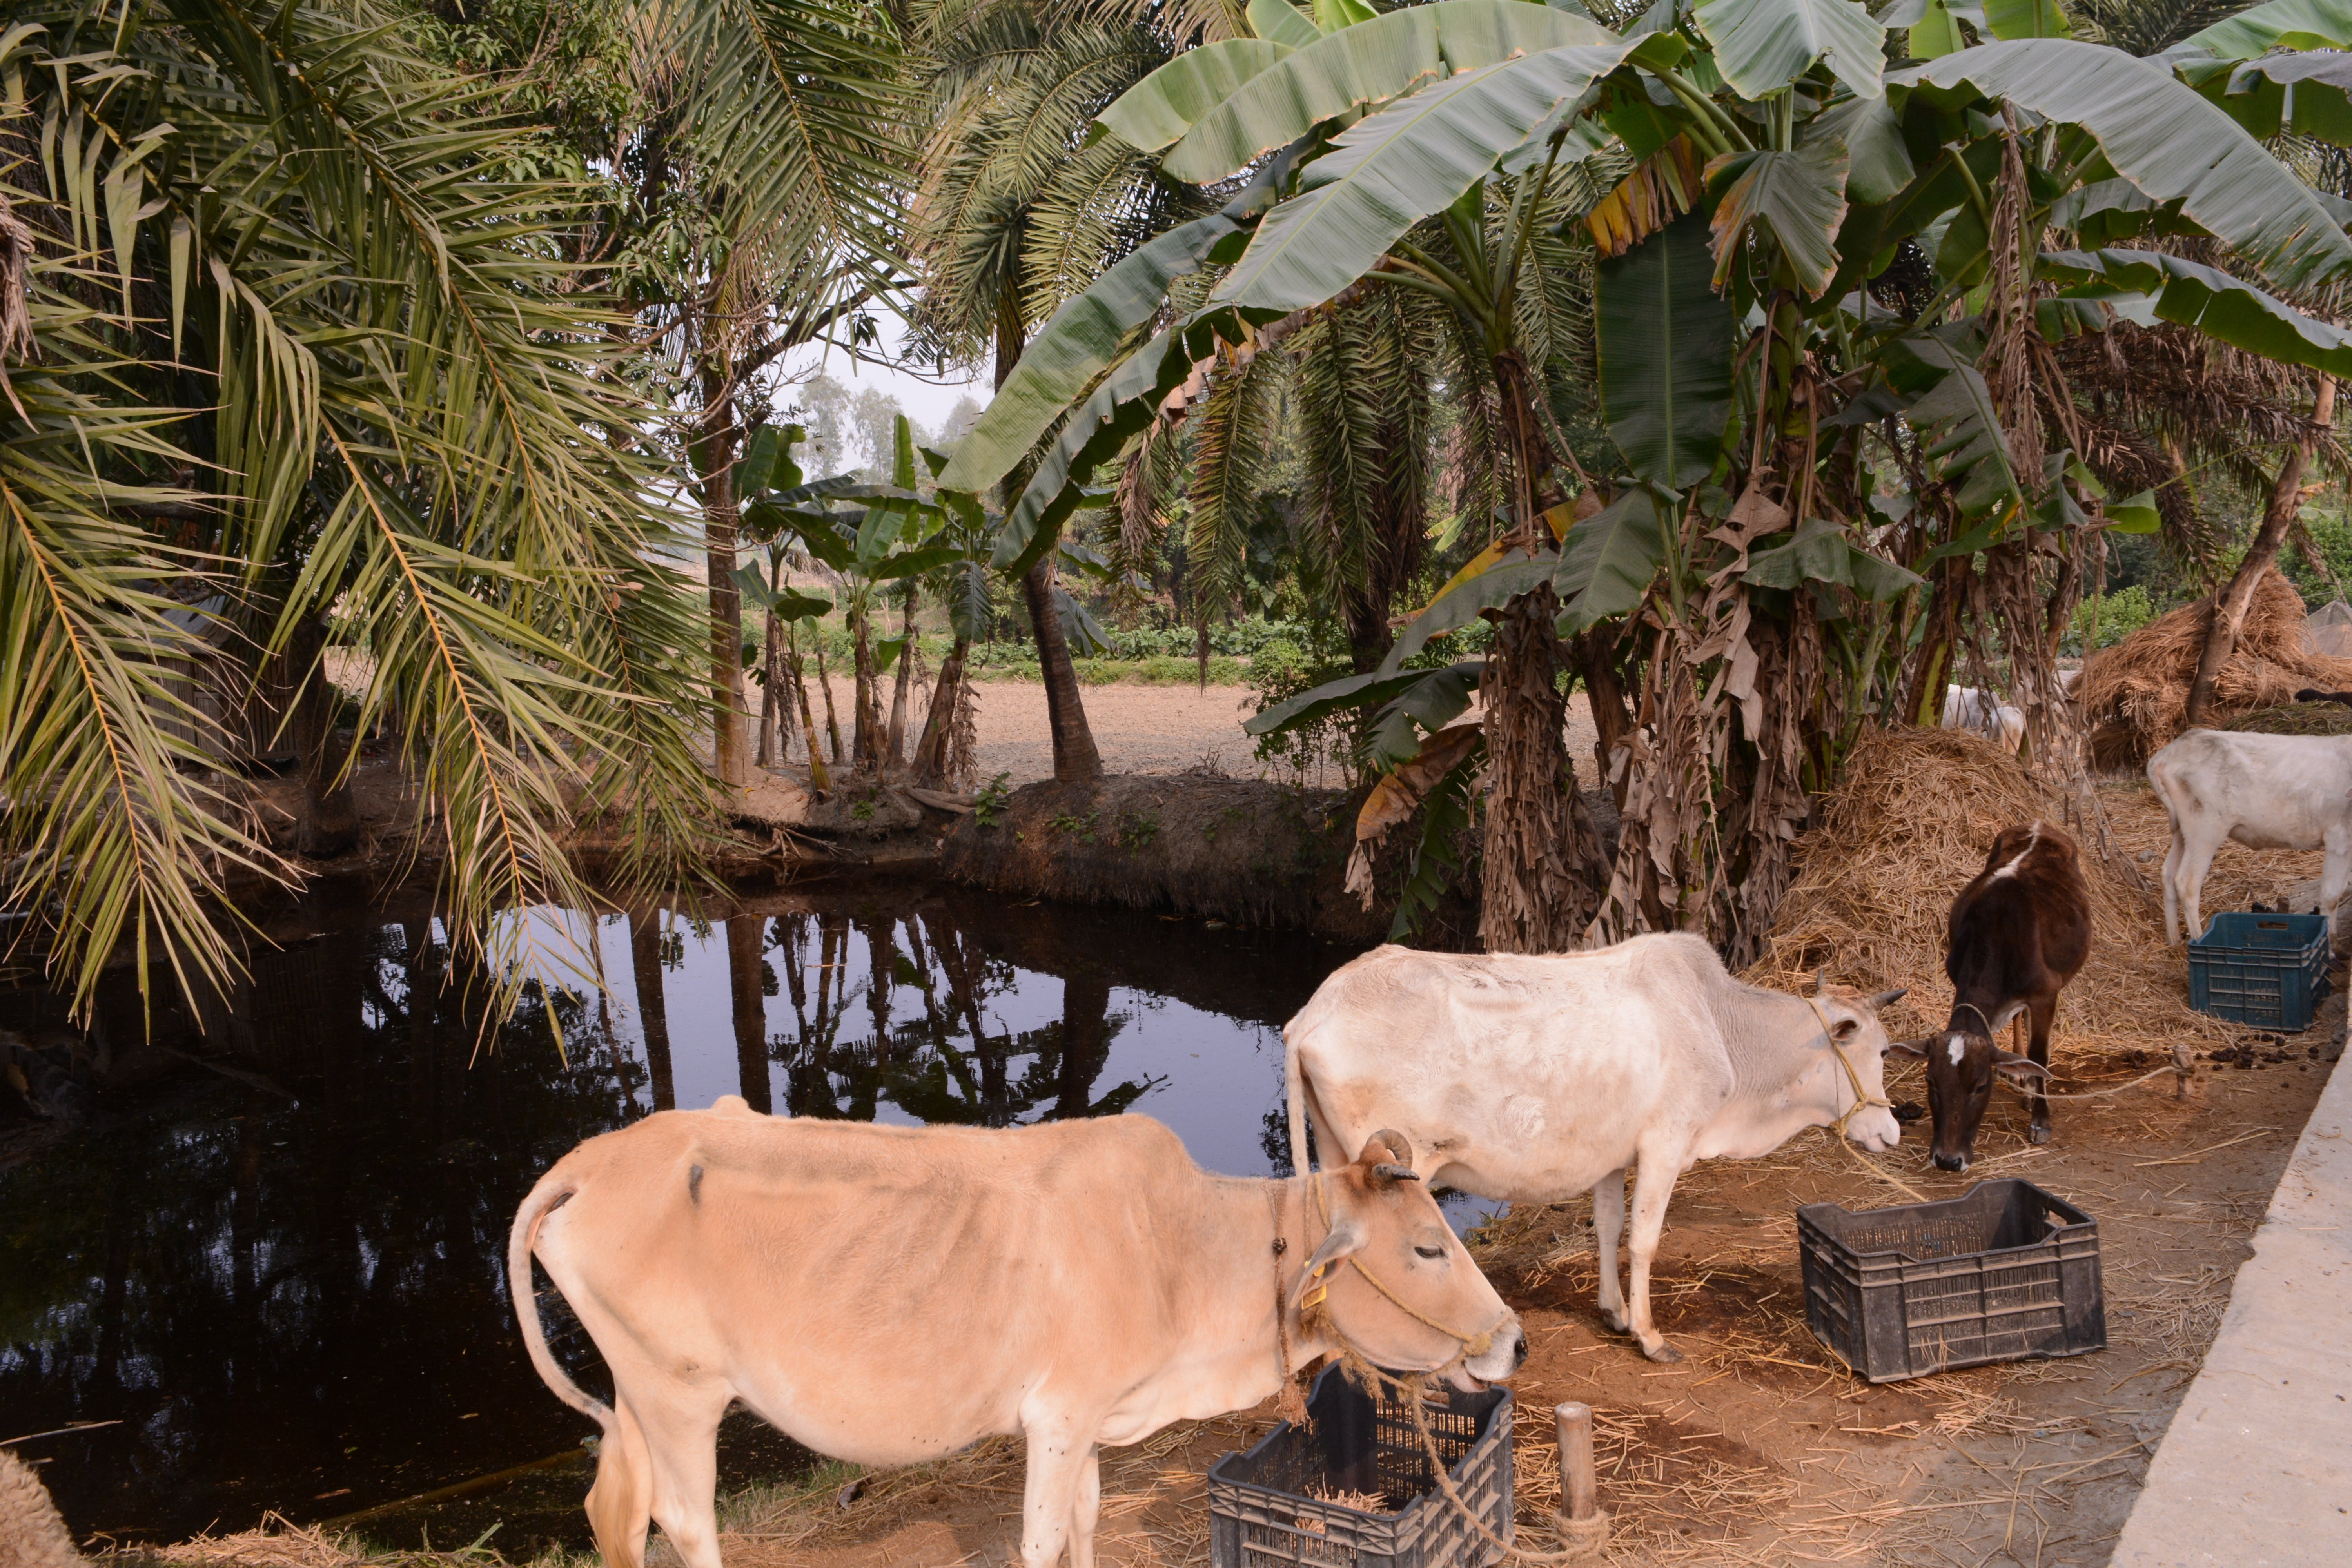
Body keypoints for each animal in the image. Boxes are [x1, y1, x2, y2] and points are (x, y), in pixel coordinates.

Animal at [508, 1100, 1524, 1568]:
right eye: (1428, 1245)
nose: (1514, 1341)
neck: (1181, 1248)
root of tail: (594, 1157)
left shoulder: (1094, 1420)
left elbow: (1083, 1520)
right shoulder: (1060, 1415)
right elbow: (1039, 1539)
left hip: (639, 1390)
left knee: (617, 1510)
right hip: (680, 1390)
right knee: (684, 1520)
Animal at [1289, 940, 1910, 1363]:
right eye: (1881, 1049)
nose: (1893, 1131)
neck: (1720, 1027)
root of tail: (1315, 1010)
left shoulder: (1611, 1157)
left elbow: (1609, 1227)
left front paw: (1614, 1312)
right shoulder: (1665, 1145)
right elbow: (1644, 1238)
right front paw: (1650, 1335)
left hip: (1341, 1158)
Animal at [1891, 822, 2098, 1166]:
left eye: (1981, 1086)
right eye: (1930, 1081)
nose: (1948, 1161)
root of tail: (2039, 823)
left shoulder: (2045, 995)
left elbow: (2039, 1054)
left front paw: (2041, 1119)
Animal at [2154, 729, 2352, 945]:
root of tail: (2168, 753)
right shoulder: (2339, 838)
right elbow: (2331, 895)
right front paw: (2331, 947)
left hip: (2182, 831)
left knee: (2168, 874)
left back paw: (2173, 940)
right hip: (2205, 830)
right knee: (2187, 882)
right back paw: (2199, 939)